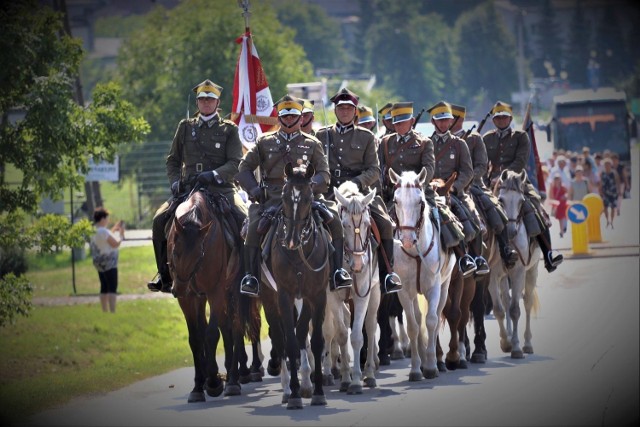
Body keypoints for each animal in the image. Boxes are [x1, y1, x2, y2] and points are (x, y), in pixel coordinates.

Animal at [168, 190, 258, 404]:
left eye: (199, 253)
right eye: (175, 251)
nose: (179, 288)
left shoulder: (215, 291)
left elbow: (211, 334)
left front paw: (214, 382)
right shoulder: (189, 298)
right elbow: (195, 338)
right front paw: (198, 386)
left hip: (232, 290)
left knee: (235, 327)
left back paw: (234, 379)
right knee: (226, 326)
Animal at [260, 162, 330, 410]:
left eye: (309, 197)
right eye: (283, 196)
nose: (291, 240)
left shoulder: (316, 295)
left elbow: (314, 340)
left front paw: (317, 391)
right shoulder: (284, 295)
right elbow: (289, 343)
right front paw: (295, 395)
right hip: (268, 298)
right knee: (280, 338)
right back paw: (287, 389)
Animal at [324, 182, 380, 396]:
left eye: (367, 224)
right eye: (344, 224)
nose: (358, 264)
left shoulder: (362, 294)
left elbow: (357, 336)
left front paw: (356, 380)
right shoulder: (332, 298)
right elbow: (340, 334)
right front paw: (347, 379)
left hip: (375, 293)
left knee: (371, 327)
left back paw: (369, 373)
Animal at [390, 168, 456, 382]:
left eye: (420, 201)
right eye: (396, 201)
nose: (407, 239)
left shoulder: (433, 287)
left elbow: (432, 321)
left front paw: (431, 366)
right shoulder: (404, 292)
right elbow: (413, 326)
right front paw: (416, 369)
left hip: (445, 286)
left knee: (435, 316)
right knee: (418, 320)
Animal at [492, 169, 544, 360]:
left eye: (521, 201)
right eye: (501, 200)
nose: (511, 231)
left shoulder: (519, 272)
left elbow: (515, 310)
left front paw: (515, 347)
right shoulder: (493, 275)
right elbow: (499, 309)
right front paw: (506, 342)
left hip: (532, 271)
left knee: (527, 302)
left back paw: (527, 344)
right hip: (503, 276)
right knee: (506, 301)